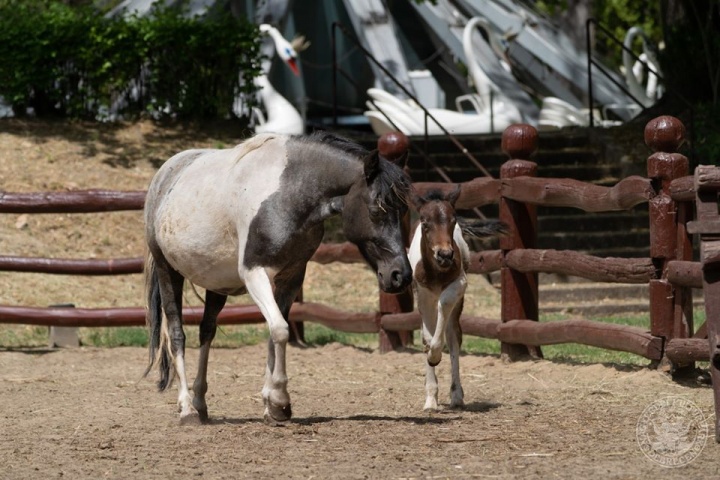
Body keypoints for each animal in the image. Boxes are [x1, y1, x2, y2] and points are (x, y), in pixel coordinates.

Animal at [142, 131, 410, 424]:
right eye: (376, 210)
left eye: (404, 212)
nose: (400, 275)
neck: (290, 194)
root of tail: (164, 175)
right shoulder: (254, 273)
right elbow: (280, 330)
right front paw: (280, 399)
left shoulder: (291, 277)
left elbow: (274, 332)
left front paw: (271, 404)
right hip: (168, 271)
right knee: (177, 334)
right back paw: (187, 408)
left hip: (217, 284)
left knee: (207, 332)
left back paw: (200, 403)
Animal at [410, 186, 506, 410]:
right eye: (425, 222)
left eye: (453, 221)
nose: (445, 254)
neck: (436, 270)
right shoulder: (422, 292)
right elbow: (426, 336)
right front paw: (430, 397)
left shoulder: (460, 283)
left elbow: (444, 306)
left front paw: (435, 355)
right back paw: (431, 399)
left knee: (454, 336)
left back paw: (456, 395)